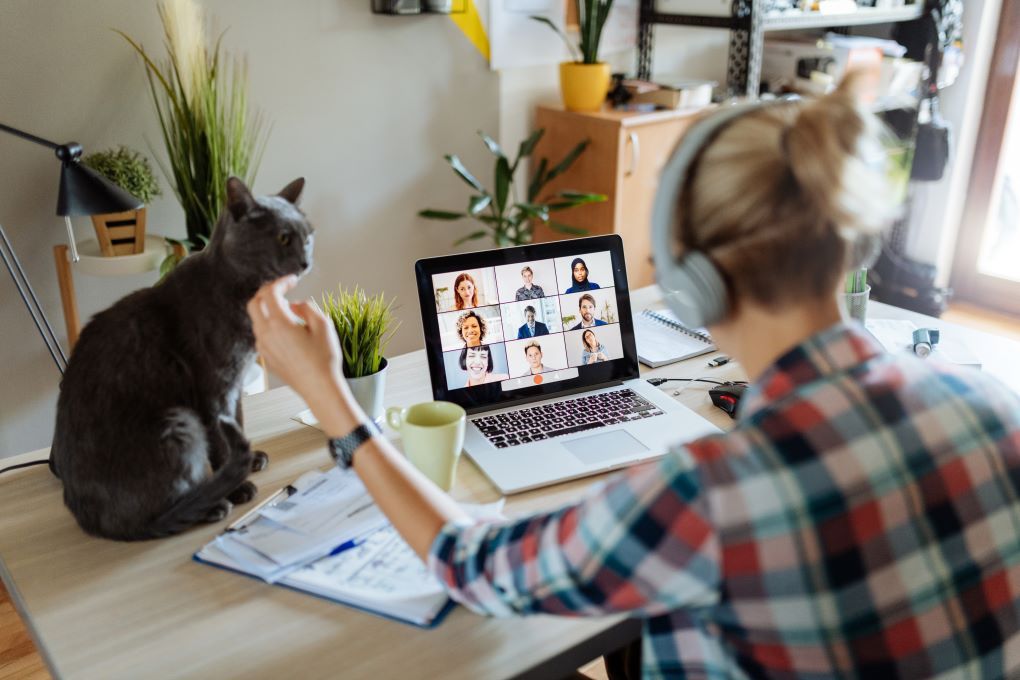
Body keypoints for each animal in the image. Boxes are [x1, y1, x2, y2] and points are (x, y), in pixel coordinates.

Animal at [50, 177, 314, 542]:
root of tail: (90, 522)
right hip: (180, 422)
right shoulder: (212, 387)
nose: (305, 262)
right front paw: (239, 485)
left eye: (309, 235)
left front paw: (251, 458)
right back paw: (211, 504)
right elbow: (221, 442)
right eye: (284, 238)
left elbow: (239, 420)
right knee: (151, 519)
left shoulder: (235, 384)